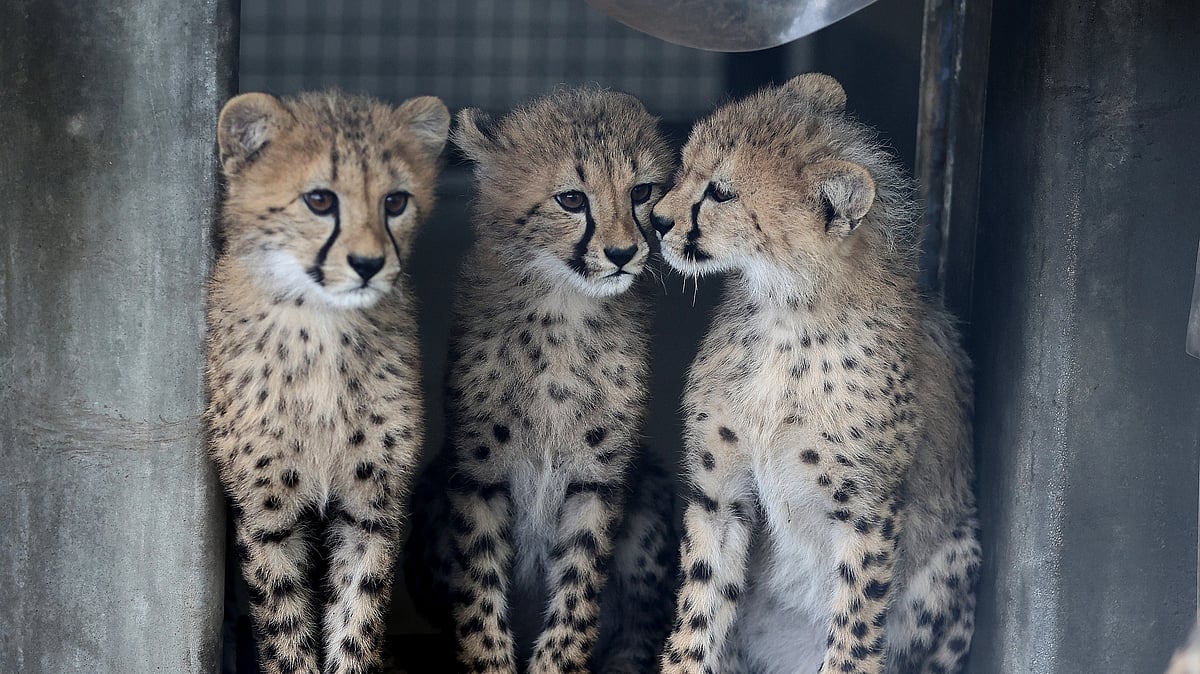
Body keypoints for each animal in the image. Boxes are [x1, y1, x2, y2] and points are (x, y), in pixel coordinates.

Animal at [206, 89, 449, 674]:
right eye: (320, 200)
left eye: (395, 202)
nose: (368, 263)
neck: (321, 327)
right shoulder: (266, 513)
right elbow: (285, 628)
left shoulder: (371, 507)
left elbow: (357, 620)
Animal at [402, 88, 678, 674]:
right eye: (572, 199)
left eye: (642, 192)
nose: (623, 254)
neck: (565, 309)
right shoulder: (477, 475)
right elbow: (479, 594)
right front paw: (490, 661)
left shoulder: (599, 478)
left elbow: (578, 591)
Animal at [649, 73, 981, 674]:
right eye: (684, 167)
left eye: (721, 192)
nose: (658, 221)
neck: (788, 312)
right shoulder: (719, 493)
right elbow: (701, 607)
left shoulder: (866, 512)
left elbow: (854, 628)